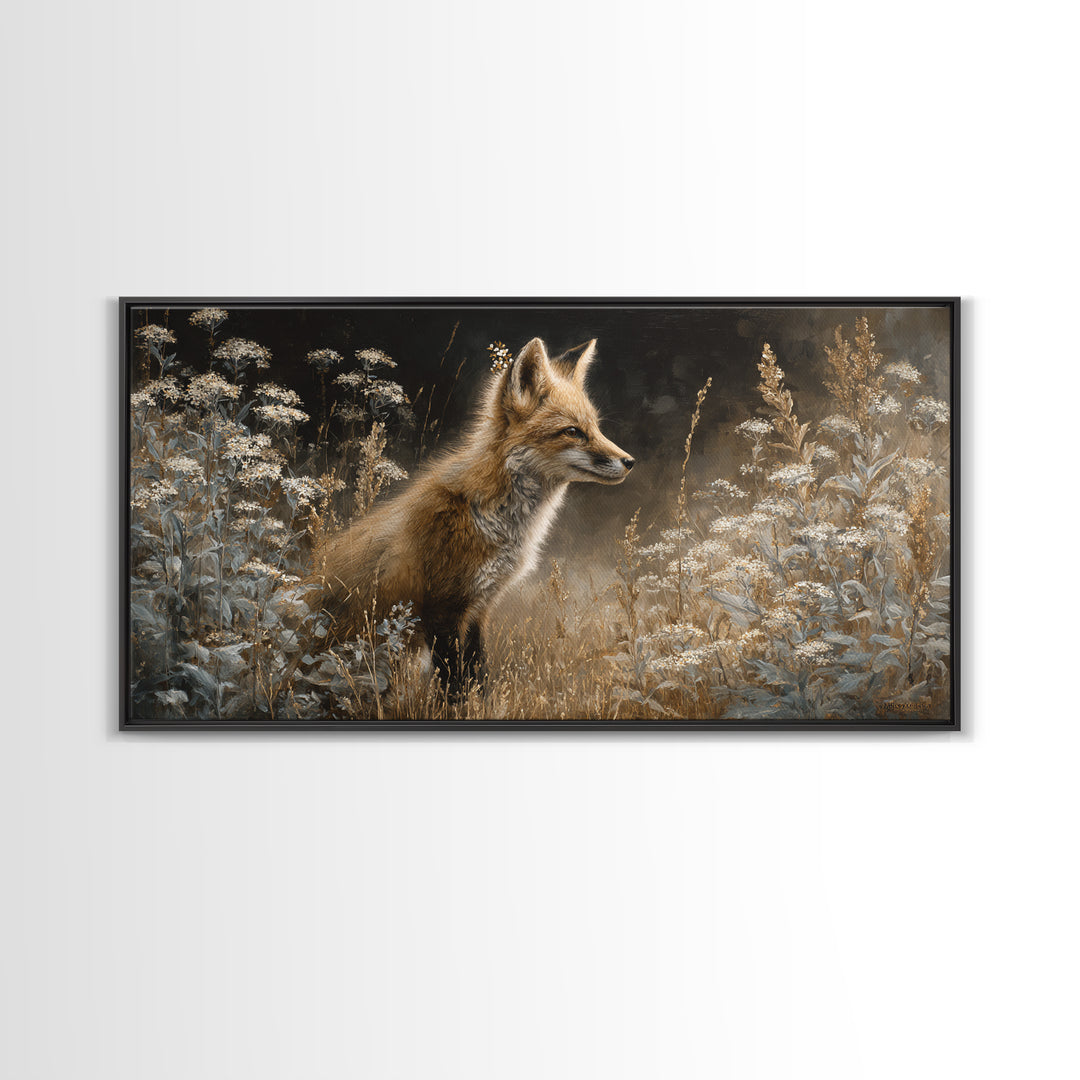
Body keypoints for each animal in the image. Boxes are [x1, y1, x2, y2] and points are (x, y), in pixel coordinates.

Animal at [316, 336, 634, 692]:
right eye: (573, 431)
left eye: (595, 428)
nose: (629, 461)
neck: (490, 517)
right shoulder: (443, 609)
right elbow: (454, 685)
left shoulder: (479, 607)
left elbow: (477, 676)